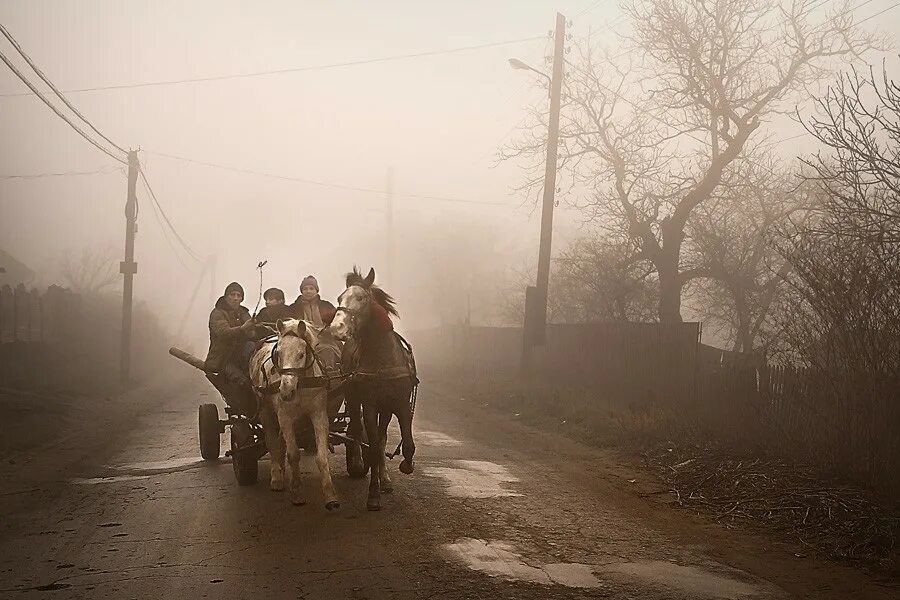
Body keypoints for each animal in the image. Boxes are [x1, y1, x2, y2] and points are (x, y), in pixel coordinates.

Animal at [250, 318, 342, 510]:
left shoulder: (319, 414)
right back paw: (277, 477)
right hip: (265, 410)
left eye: (301, 354)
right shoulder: (285, 417)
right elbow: (293, 455)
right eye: (278, 354)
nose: (285, 391)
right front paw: (297, 492)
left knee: (280, 442)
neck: (301, 384)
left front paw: (330, 496)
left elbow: (321, 456)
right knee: (272, 441)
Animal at [328, 268, 416, 510]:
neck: (383, 360)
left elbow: (407, 444)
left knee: (382, 436)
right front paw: (373, 494)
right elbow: (374, 448)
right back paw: (358, 462)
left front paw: (405, 466)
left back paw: (385, 479)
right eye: (339, 298)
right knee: (358, 431)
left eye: (361, 298)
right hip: (353, 396)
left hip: (385, 408)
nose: (336, 328)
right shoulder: (369, 405)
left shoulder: (400, 403)